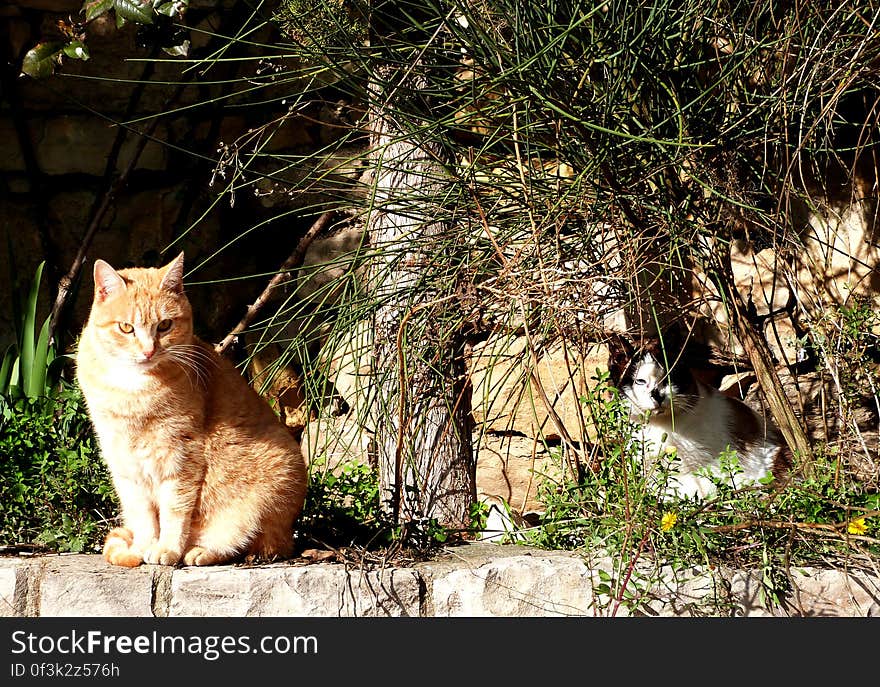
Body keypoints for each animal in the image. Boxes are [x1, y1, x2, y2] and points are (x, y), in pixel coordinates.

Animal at [76, 255, 310, 568]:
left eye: (164, 325)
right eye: (126, 328)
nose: (149, 351)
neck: (131, 390)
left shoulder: (181, 457)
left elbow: (174, 511)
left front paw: (166, 549)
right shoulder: (124, 462)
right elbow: (142, 515)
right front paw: (142, 547)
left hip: (278, 479)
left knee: (253, 543)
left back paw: (199, 551)